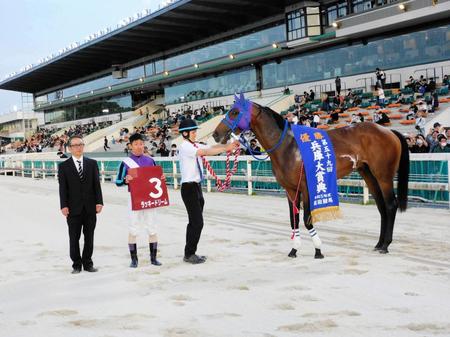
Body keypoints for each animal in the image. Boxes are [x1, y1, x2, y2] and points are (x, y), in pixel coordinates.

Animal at [213, 100, 410, 258]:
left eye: (235, 112)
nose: (215, 134)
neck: (289, 147)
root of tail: (389, 131)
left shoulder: (306, 187)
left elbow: (307, 219)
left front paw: (318, 250)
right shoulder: (290, 190)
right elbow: (293, 219)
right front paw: (294, 249)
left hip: (383, 175)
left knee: (390, 205)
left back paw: (385, 245)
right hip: (368, 174)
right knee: (382, 207)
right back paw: (378, 244)